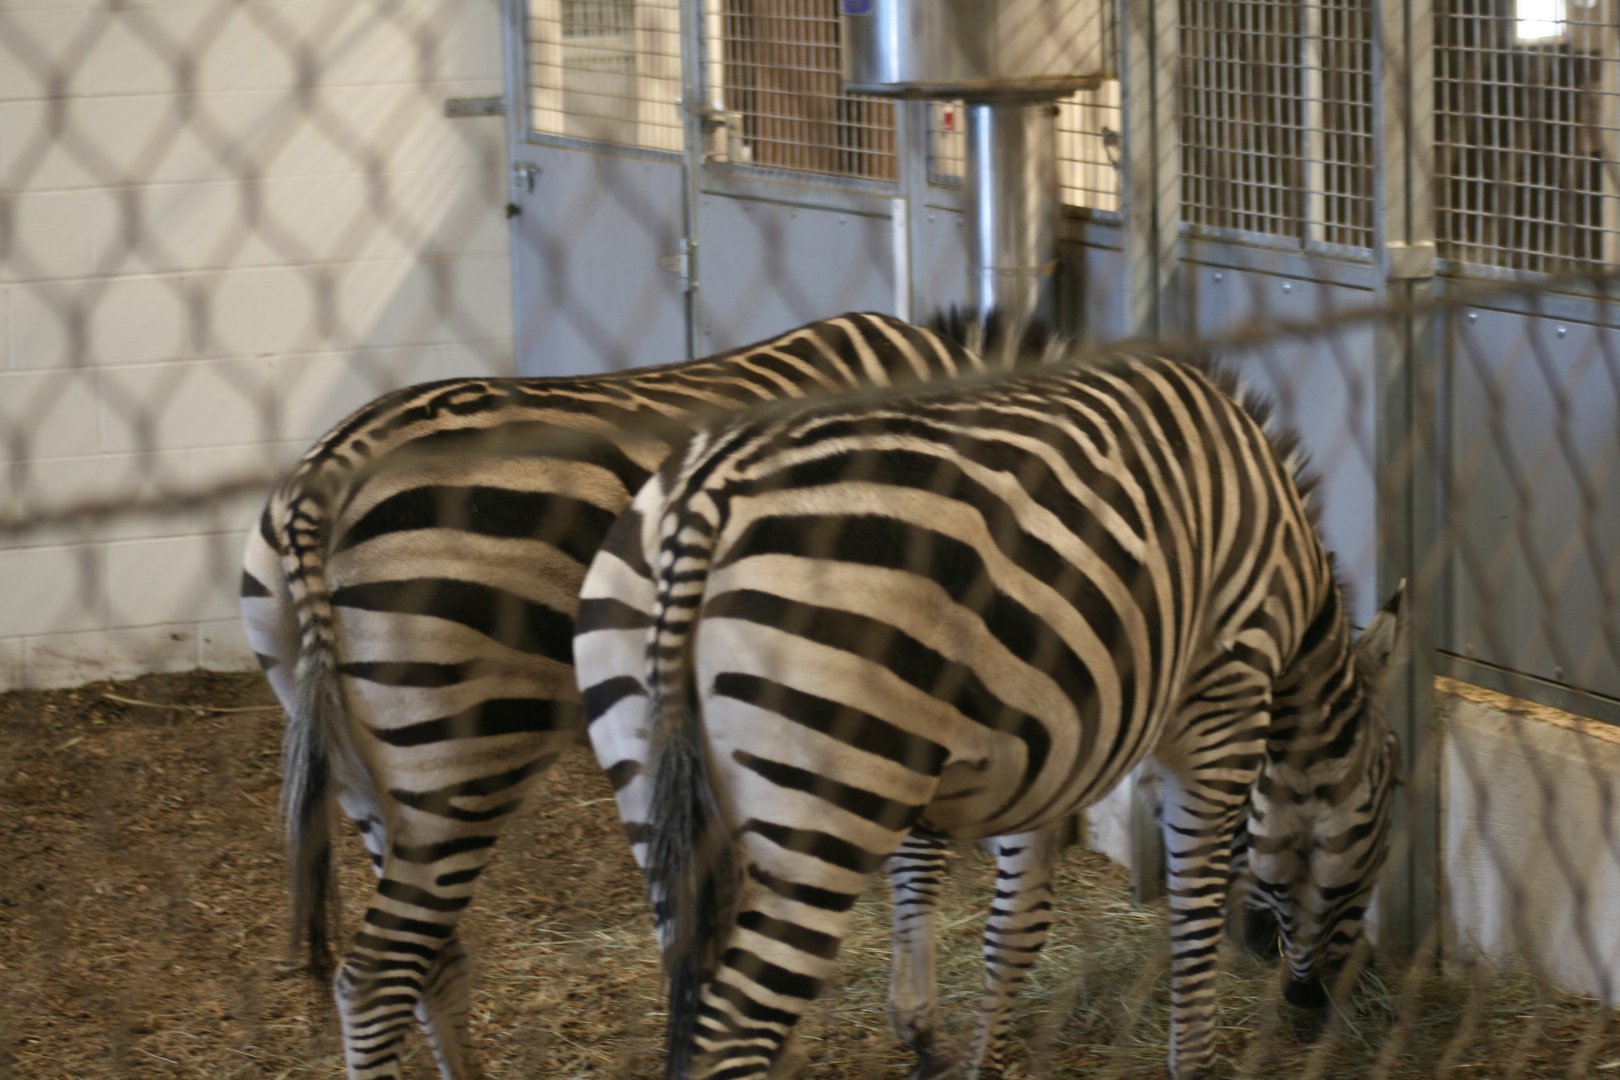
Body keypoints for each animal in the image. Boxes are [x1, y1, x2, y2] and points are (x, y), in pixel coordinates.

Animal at [239, 311, 1053, 1080]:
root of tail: (326, 474)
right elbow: (944, 874)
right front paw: (924, 1031)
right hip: (459, 757)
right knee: (377, 975)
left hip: (361, 768)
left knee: (431, 962)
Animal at [573, 340, 1404, 1079]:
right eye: (1386, 814)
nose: (1318, 1005)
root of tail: (707, 493)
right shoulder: (1223, 703)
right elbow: (1193, 912)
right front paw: (1193, 1062)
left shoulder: (1047, 737)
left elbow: (1007, 925)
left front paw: (944, 1047)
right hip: (820, 814)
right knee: (729, 1039)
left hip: (661, 779)